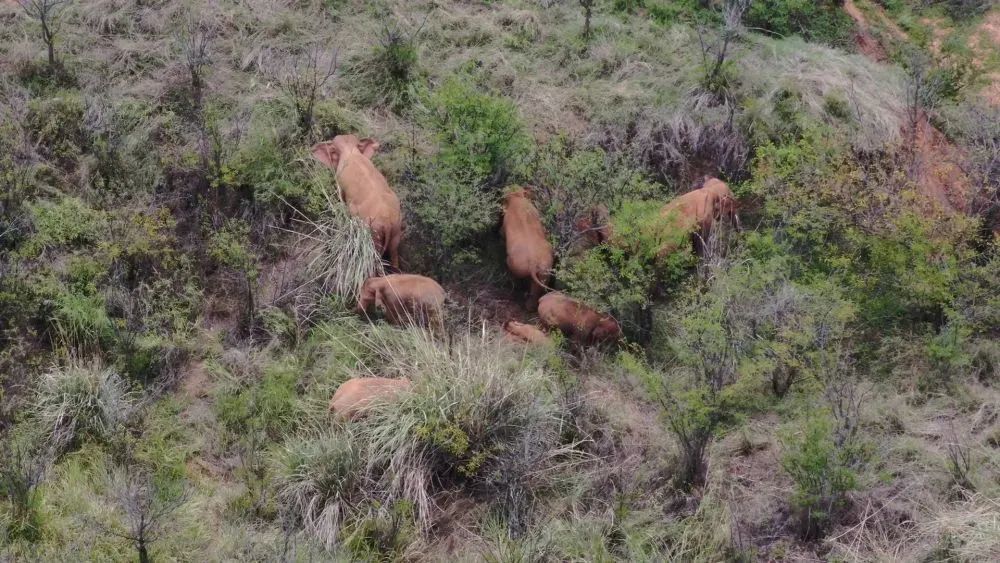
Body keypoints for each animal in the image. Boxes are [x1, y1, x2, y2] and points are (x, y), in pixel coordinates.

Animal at [314, 135, 404, 270]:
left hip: (373, 235)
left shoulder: (340, 183)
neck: (351, 152)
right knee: (394, 253)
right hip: (396, 230)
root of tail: (387, 221)